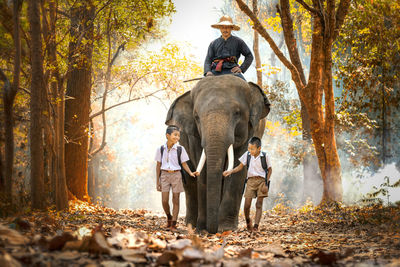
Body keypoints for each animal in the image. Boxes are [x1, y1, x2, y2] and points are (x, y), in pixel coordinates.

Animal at [164, 75, 270, 234]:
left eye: (237, 113)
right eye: (196, 116)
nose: (211, 230)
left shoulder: (252, 128)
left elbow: (239, 168)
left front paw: (226, 228)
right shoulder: (193, 134)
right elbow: (202, 169)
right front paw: (201, 228)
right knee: (189, 182)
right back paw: (191, 224)